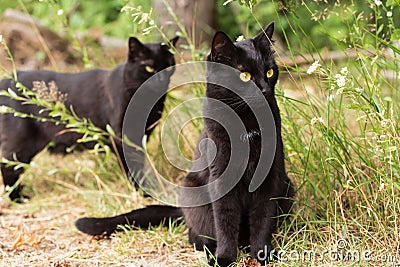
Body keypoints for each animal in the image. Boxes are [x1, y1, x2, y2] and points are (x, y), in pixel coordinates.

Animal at [0, 35, 178, 201]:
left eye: (168, 66)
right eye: (149, 67)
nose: (160, 80)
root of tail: (6, 80)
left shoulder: (141, 137)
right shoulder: (121, 137)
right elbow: (132, 167)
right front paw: (140, 192)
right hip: (22, 141)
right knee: (8, 165)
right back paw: (18, 198)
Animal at [75, 23, 294, 267]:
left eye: (269, 72)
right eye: (244, 75)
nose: (264, 89)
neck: (247, 123)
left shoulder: (270, 175)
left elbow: (263, 217)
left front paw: (263, 253)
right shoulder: (221, 177)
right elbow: (225, 220)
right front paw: (224, 257)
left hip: (288, 186)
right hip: (193, 192)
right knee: (197, 233)